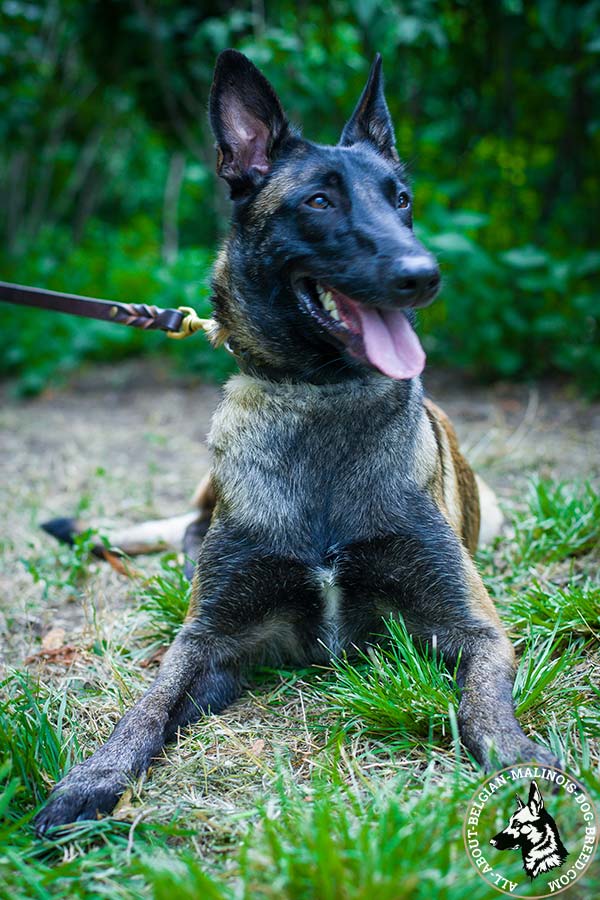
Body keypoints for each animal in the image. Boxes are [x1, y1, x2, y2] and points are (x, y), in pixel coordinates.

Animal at [32, 51, 556, 836]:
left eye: (402, 199)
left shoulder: (473, 628)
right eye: (318, 202)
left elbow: (483, 706)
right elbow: (147, 705)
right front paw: (91, 778)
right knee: (183, 534)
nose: (423, 275)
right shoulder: (210, 640)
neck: (320, 401)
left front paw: (520, 761)